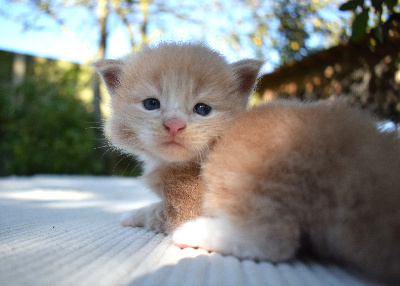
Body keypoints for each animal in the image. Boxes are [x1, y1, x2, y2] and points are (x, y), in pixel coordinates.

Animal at [92, 43, 264, 235]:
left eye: (202, 109)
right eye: (151, 104)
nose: (174, 125)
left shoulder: (188, 209)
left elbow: (155, 213)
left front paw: (129, 215)